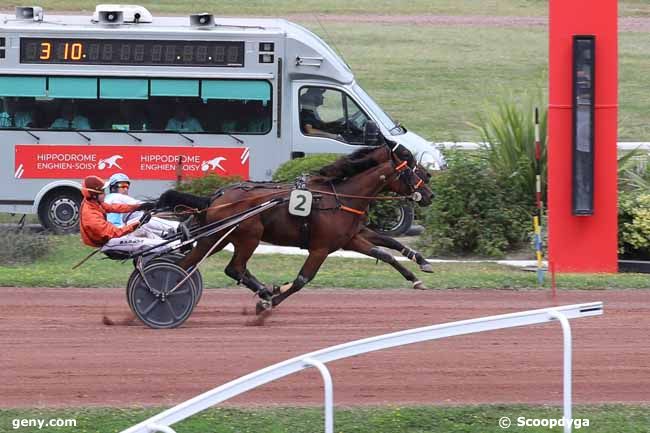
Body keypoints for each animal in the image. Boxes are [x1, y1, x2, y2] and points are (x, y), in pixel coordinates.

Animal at [156, 143, 430, 312]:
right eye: (411, 168)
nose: (430, 193)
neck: (340, 196)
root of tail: (215, 197)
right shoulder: (320, 248)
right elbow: (301, 280)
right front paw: (271, 301)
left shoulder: (350, 238)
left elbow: (387, 250)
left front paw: (419, 270)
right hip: (249, 236)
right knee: (234, 268)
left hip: (216, 238)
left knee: (187, 264)